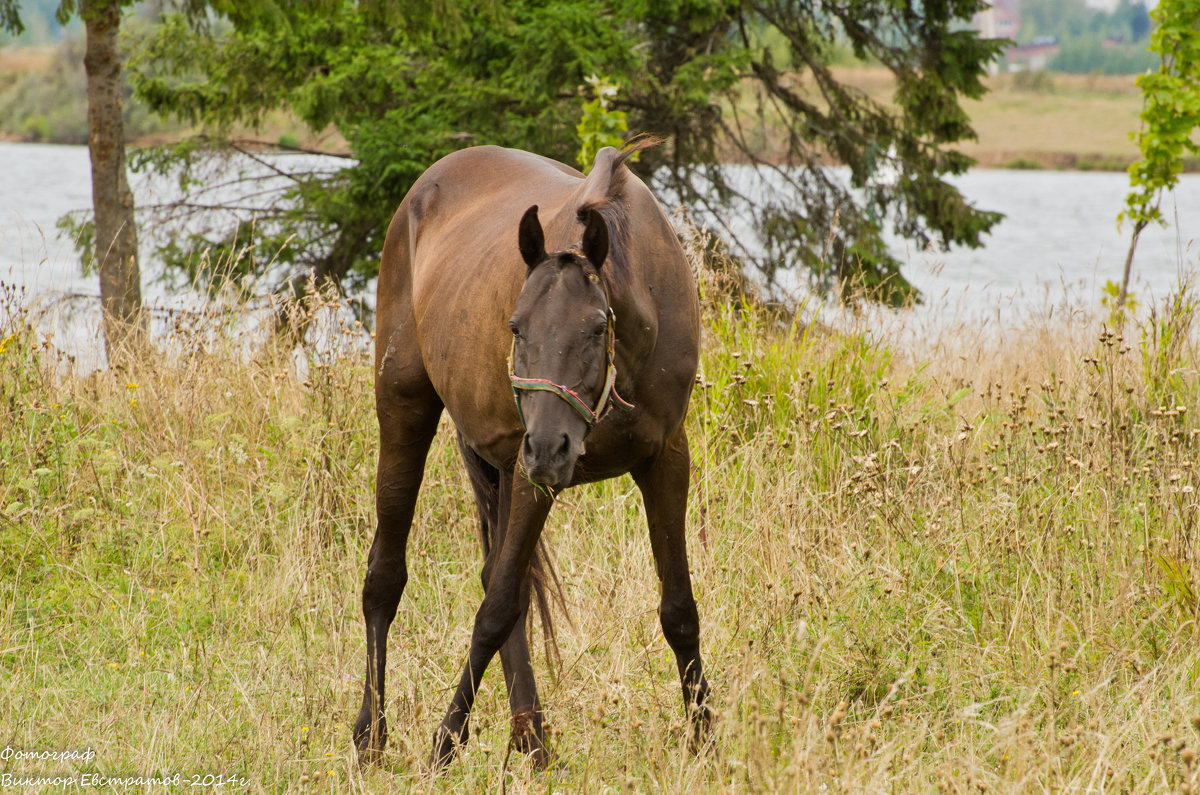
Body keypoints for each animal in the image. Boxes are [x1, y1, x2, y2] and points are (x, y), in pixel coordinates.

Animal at [355, 143, 710, 773]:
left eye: (596, 329)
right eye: (516, 327)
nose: (547, 446)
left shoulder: (665, 460)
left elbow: (678, 609)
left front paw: (705, 739)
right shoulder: (532, 477)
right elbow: (494, 610)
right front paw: (445, 741)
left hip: (502, 465)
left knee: (501, 581)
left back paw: (531, 739)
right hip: (408, 412)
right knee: (386, 577)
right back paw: (372, 732)